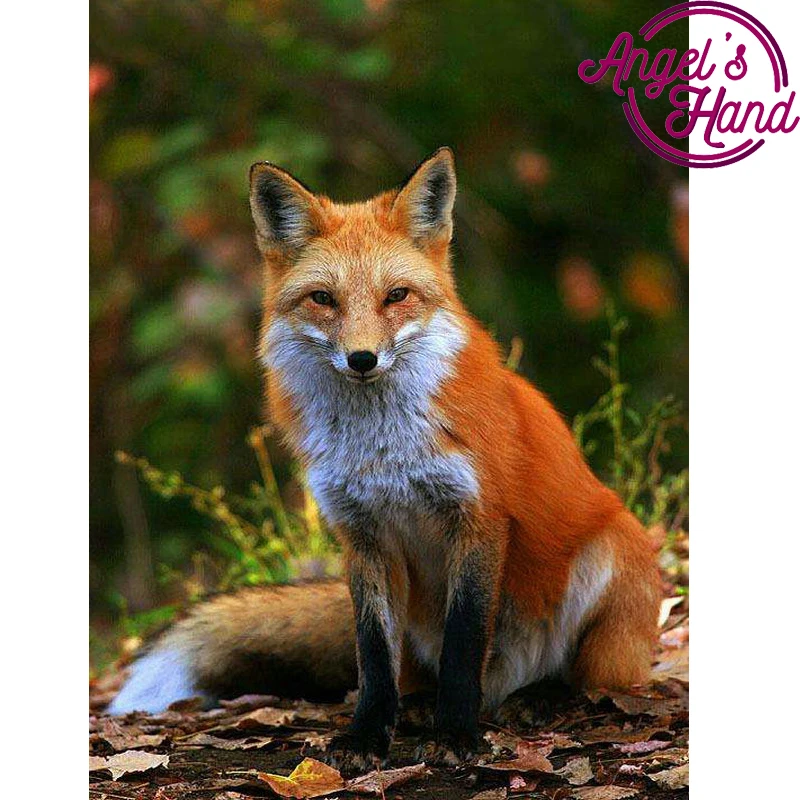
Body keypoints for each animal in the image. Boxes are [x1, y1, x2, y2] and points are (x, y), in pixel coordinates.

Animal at [109, 147, 661, 769]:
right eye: (323, 299)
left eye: (396, 296)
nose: (362, 358)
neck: (382, 452)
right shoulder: (361, 534)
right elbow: (373, 657)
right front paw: (368, 735)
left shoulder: (478, 520)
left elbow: (464, 643)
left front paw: (456, 734)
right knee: (412, 672)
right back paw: (420, 708)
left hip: (607, 562)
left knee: (589, 682)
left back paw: (540, 697)